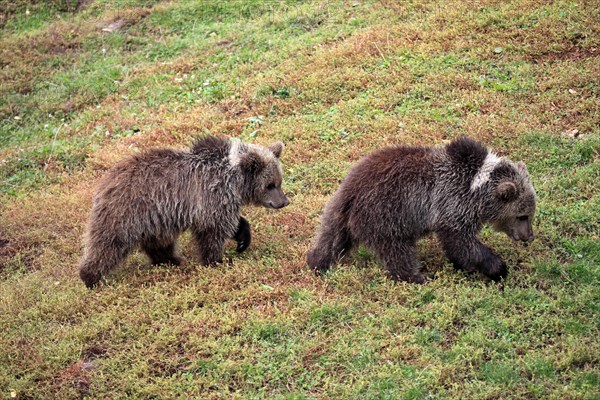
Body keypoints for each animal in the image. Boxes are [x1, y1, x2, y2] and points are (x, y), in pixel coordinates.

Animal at [78, 137, 290, 288]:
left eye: (279, 181)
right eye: (270, 185)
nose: (284, 202)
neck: (233, 181)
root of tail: (104, 182)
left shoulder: (220, 203)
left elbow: (232, 222)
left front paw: (242, 240)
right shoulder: (210, 196)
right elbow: (212, 233)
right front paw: (216, 260)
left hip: (156, 219)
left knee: (160, 242)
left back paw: (172, 260)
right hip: (125, 213)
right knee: (107, 244)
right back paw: (90, 278)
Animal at [308, 136, 536, 282]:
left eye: (530, 214)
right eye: (522, 216)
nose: (529, 236)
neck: (476, 187)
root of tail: (350, 190)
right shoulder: (452, 202)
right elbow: (461, 242)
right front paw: (497, 267)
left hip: (341, 211)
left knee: (330, 237)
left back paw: (318, 262)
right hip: (387, 213)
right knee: (397, 250)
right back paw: (418, 276)